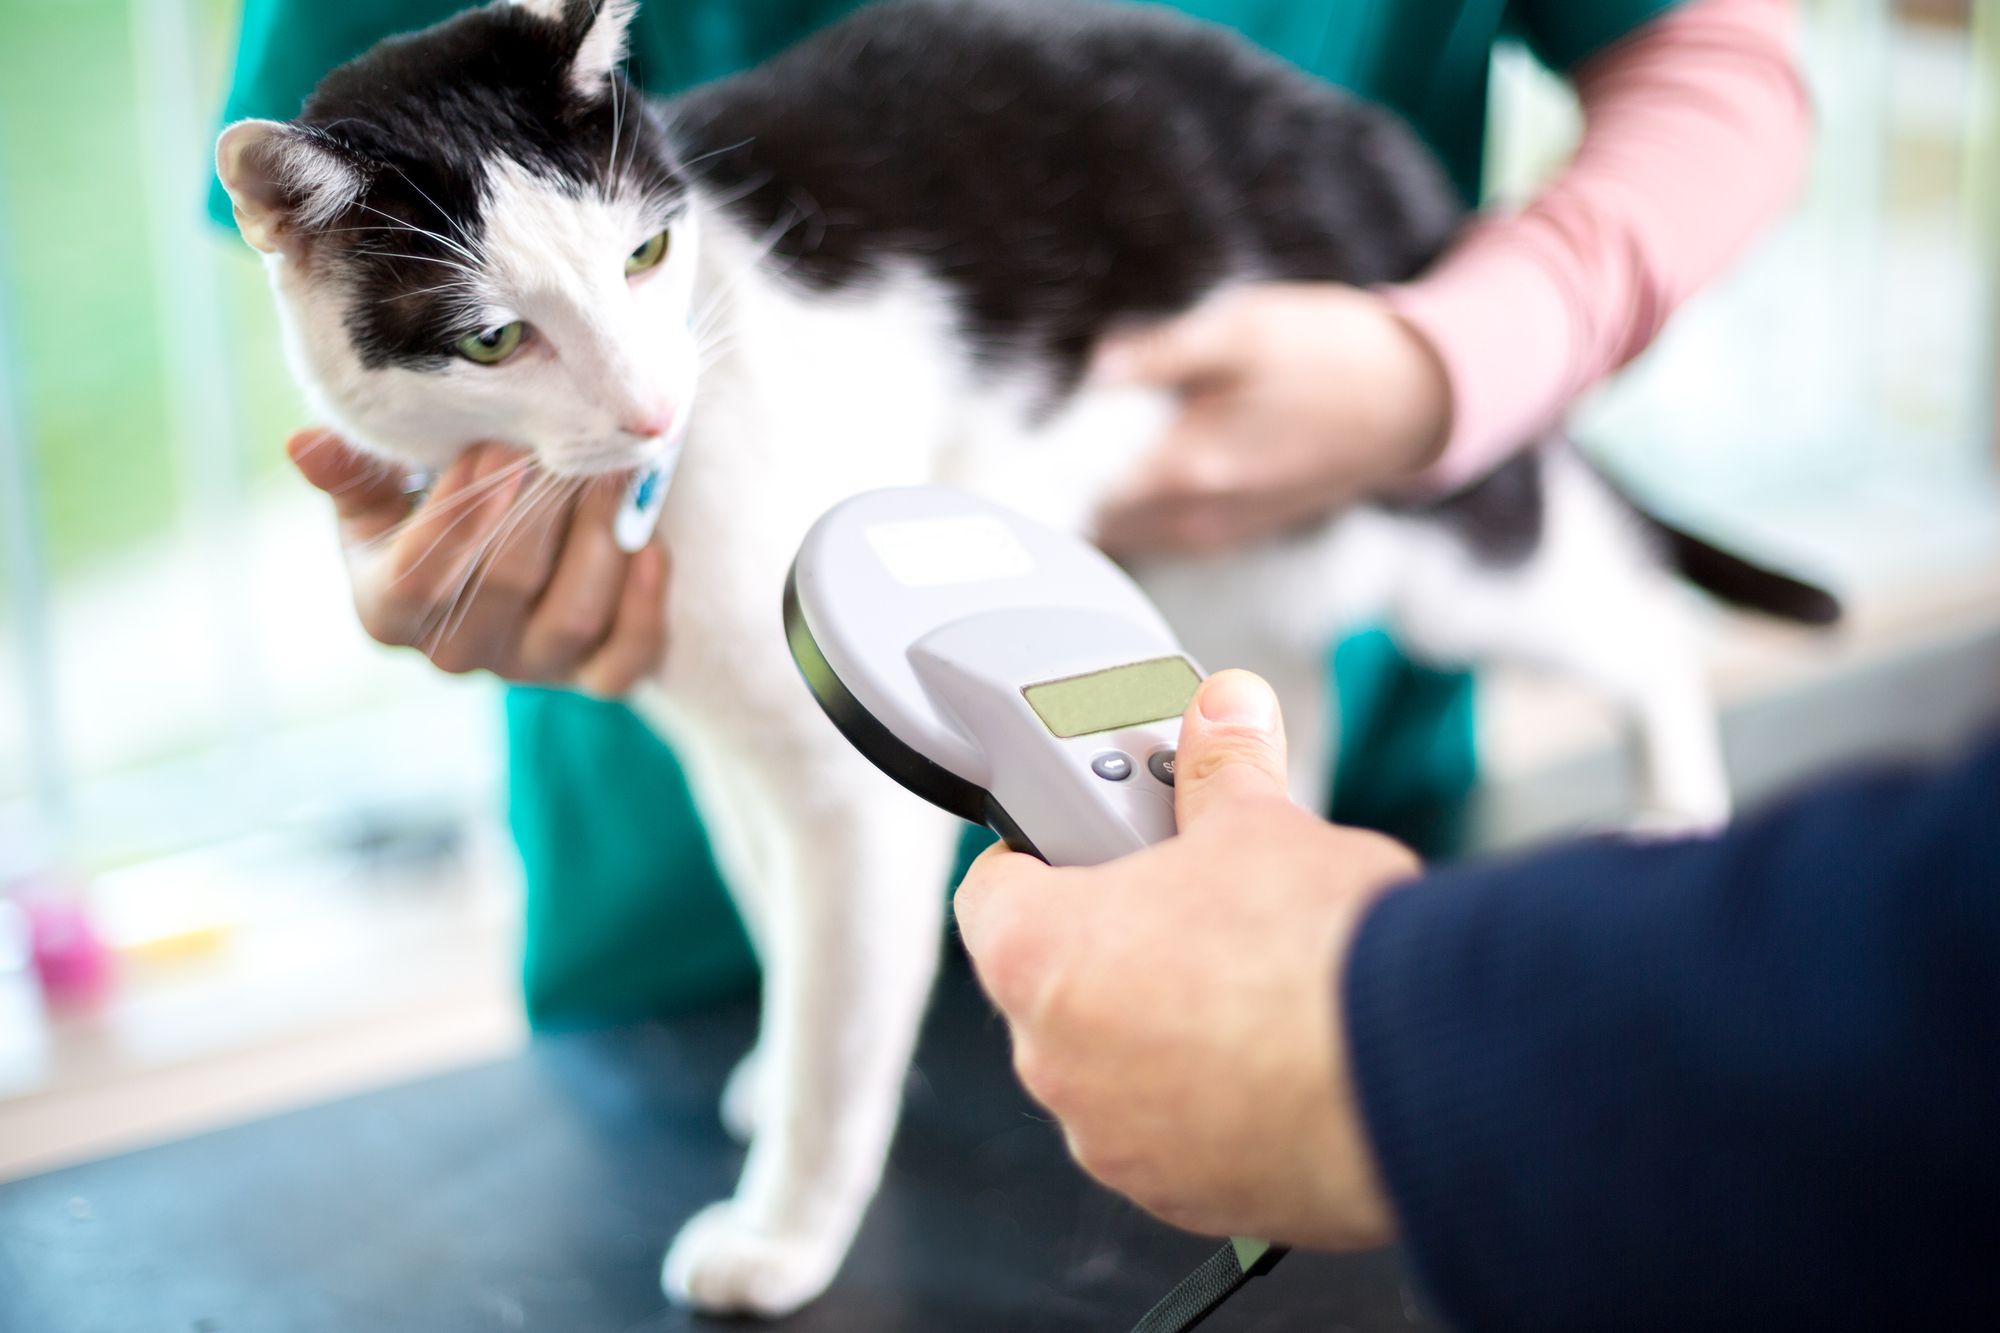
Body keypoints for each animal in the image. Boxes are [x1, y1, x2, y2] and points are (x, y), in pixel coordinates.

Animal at [215, 0, 1832, 1304]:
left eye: (647, 255)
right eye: (495, 341)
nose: (654, 406)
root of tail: (1388, 158)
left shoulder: (841, 780)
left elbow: (841, 1013)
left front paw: (783, 1224)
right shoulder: (729, 739)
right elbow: (777, 919)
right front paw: (767, 1067)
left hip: (1425, 516)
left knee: (1627, 611)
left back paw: (1672, 807)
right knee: (1280, 680)